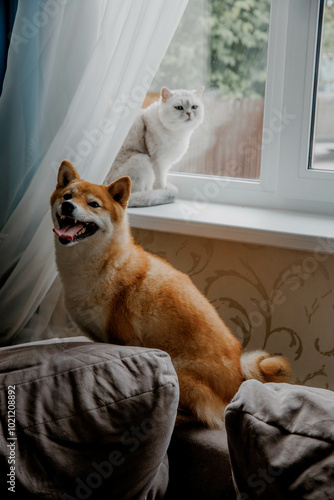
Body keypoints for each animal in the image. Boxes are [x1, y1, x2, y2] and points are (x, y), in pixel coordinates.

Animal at [51, 161, 290, 430]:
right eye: (67, 196)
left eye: (93, 204)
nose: (68, 206)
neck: (101, 264)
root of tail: (239, 379)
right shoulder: (96, 334)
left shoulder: (123, 339)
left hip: (176, 367)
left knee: (204, 415)